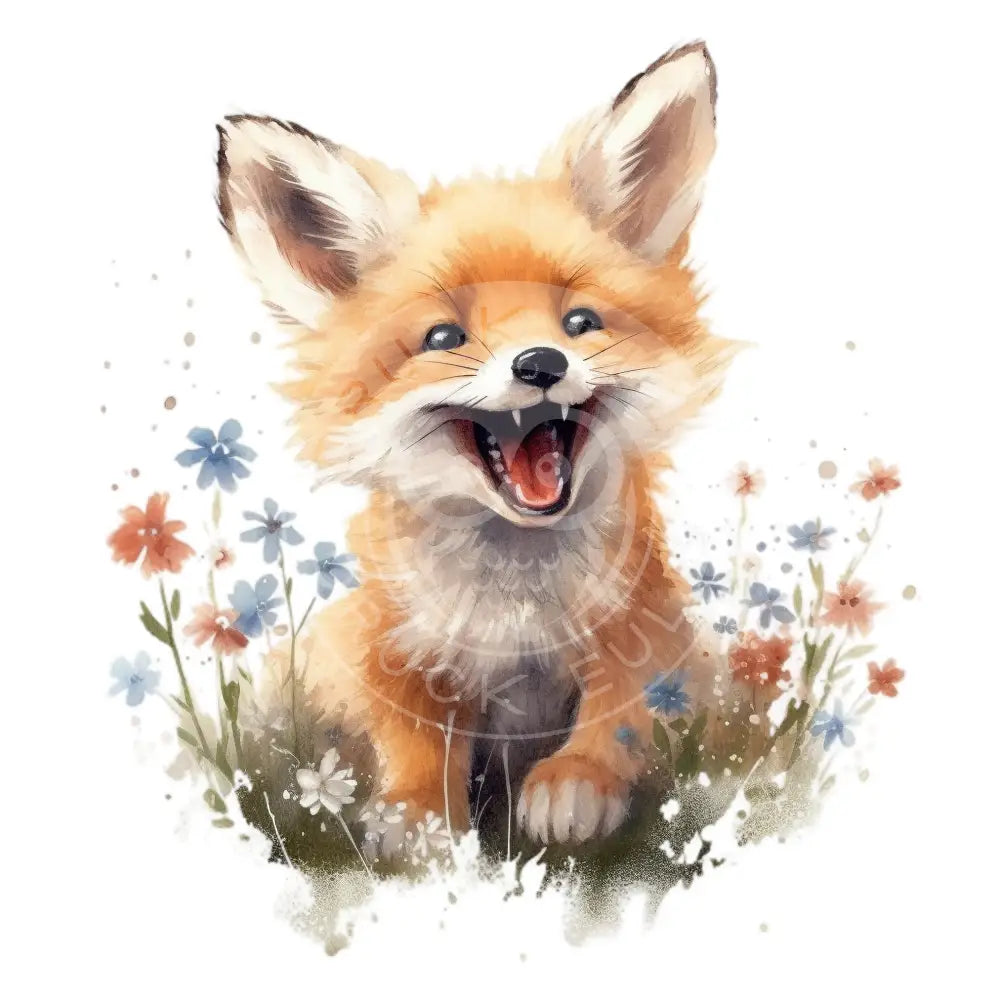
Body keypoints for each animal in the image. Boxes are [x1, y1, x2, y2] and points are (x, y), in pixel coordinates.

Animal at [216, 41, 733, 848]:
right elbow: (410, 730)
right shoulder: (386, 643)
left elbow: (624, 703)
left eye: (580, 323)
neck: (515, 606)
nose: (541, 364)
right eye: (443, 338)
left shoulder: (647, 624)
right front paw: (420, 813)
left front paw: (579, 777)